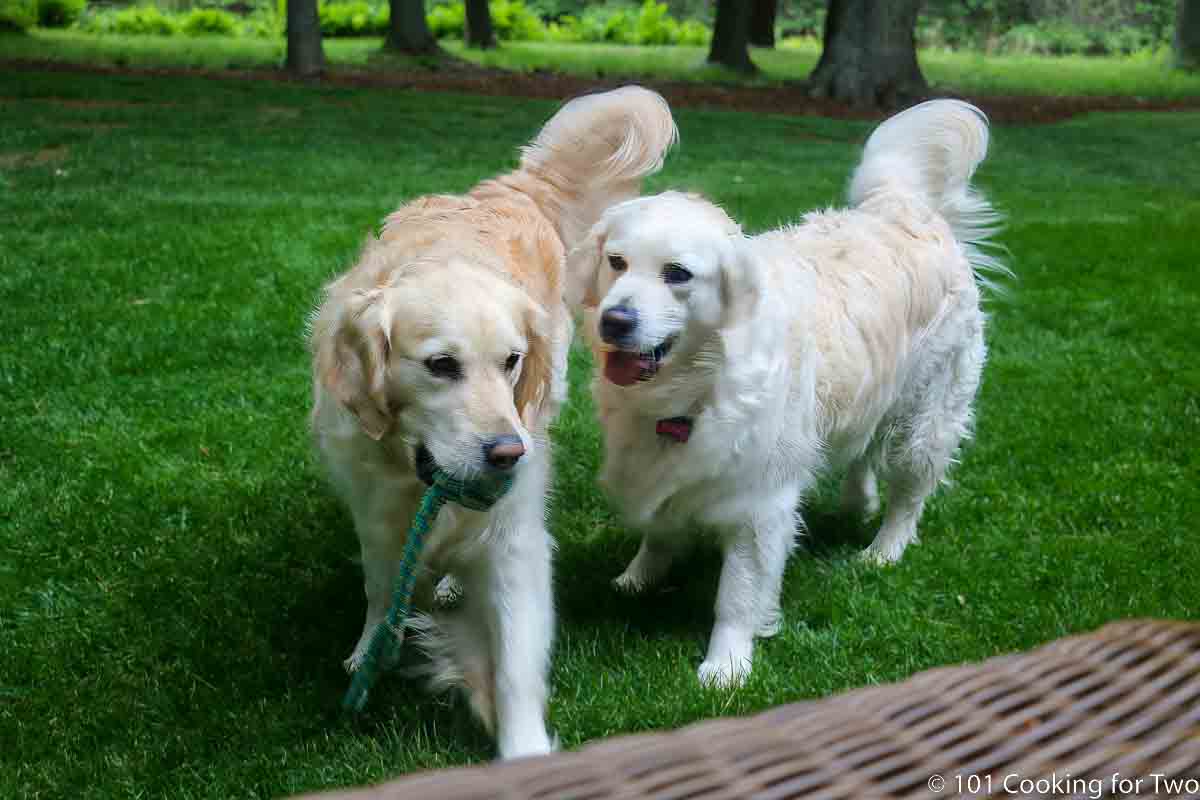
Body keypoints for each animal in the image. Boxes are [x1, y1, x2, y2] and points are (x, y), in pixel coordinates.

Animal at [309, 87, 681, 758]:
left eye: (511, 361)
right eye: (441, 365)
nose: (507, 452)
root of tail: (511, 187)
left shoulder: (513, 529)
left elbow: (513, 653)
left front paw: (524, 746)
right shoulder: (374, 502)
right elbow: (381, 584)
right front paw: (370, 648)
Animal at [561, 98, 1003, 690]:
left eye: (677, 274)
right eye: (617, 262)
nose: (615, 321)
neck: (699, 381)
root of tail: (904, 209)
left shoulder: (761, 504)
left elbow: (738, 593)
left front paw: (726, 665)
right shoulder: (662, 462)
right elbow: (660, 530)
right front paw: (636, 579)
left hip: (926, 416)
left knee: (910, 492)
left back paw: (883, 550)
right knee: (861, 451)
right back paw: (856, 502)